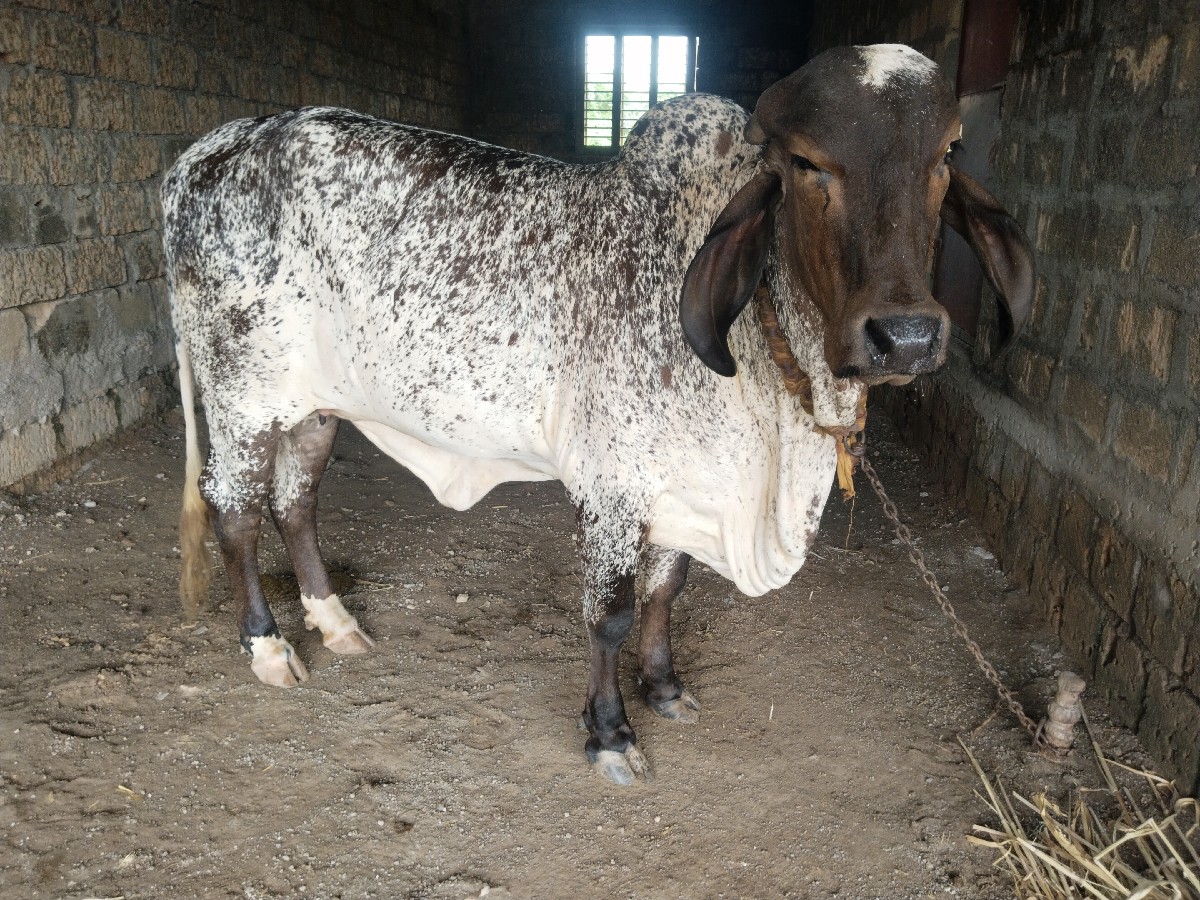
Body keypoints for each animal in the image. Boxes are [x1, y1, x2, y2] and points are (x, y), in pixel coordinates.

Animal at [163, 44, 1033, 784]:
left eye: (944, 157)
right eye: (808, 163)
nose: (906, 335)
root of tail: (207, 152)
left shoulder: (684, 484)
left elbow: (665, 591)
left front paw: (665, 686)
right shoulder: (611, 487)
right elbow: (610, 614)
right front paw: (610, 732)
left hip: (313, 406)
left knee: (297, 502)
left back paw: (336, 622)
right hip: (241, 399)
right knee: (237, 512)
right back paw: (269, 645)